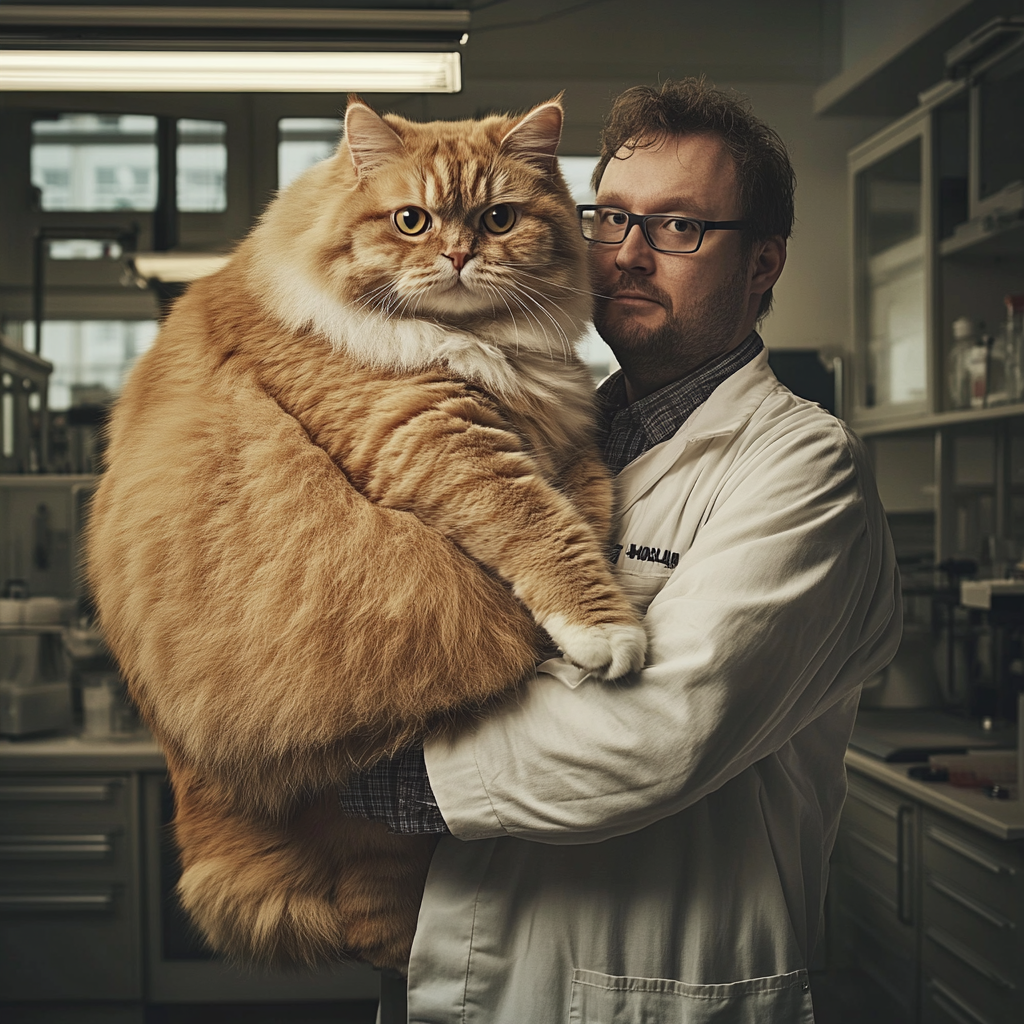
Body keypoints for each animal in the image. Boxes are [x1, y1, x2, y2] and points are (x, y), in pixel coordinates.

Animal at [90, 99, 647, 970]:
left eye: (498, 219)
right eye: (411, 221)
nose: (458, 255)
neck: (478, 345)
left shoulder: (563, 438)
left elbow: (584, 500)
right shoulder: (428, 436)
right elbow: (541, 528)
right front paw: (605, 631)